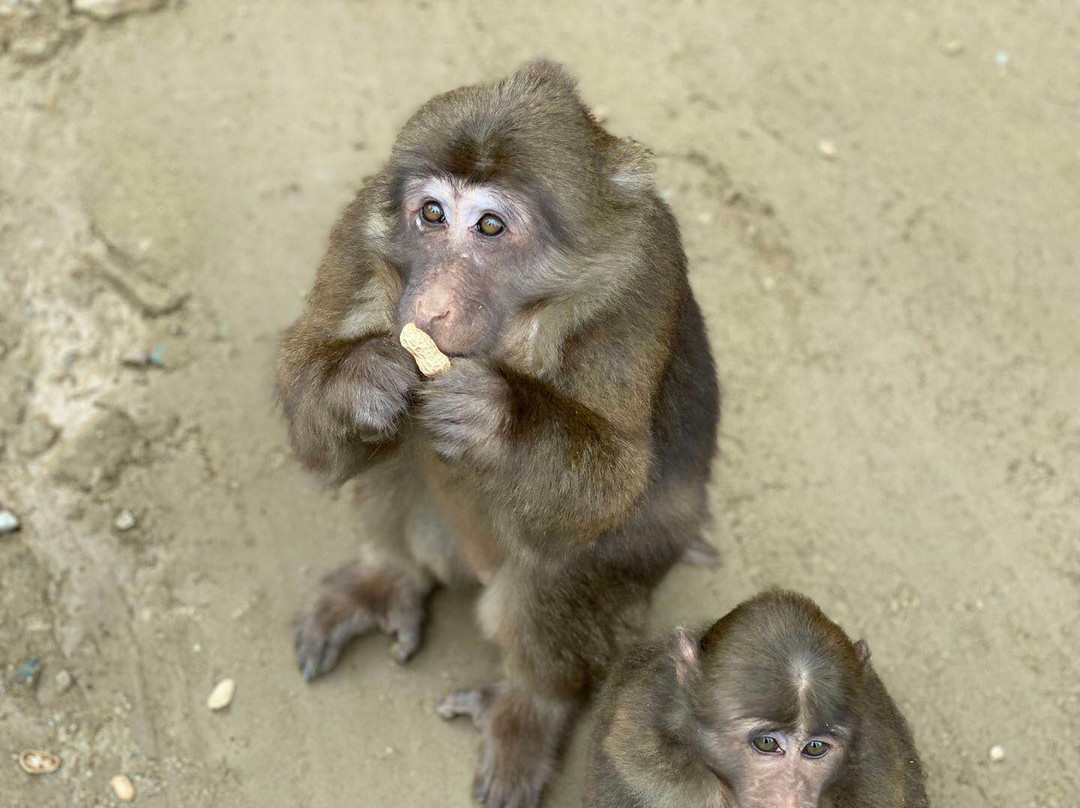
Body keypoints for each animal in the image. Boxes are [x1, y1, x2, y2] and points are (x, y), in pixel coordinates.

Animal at [276, 63, 717, 808]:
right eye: (431, 214)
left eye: (489, 225)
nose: (429, 306)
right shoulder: (360, 234)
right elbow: (304, 389)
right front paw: (363, 378)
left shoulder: (641, 280)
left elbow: (618, 478)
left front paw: (496, 420)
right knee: (394, 462)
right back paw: (389, 573)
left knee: (562, 565)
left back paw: (531, 708)